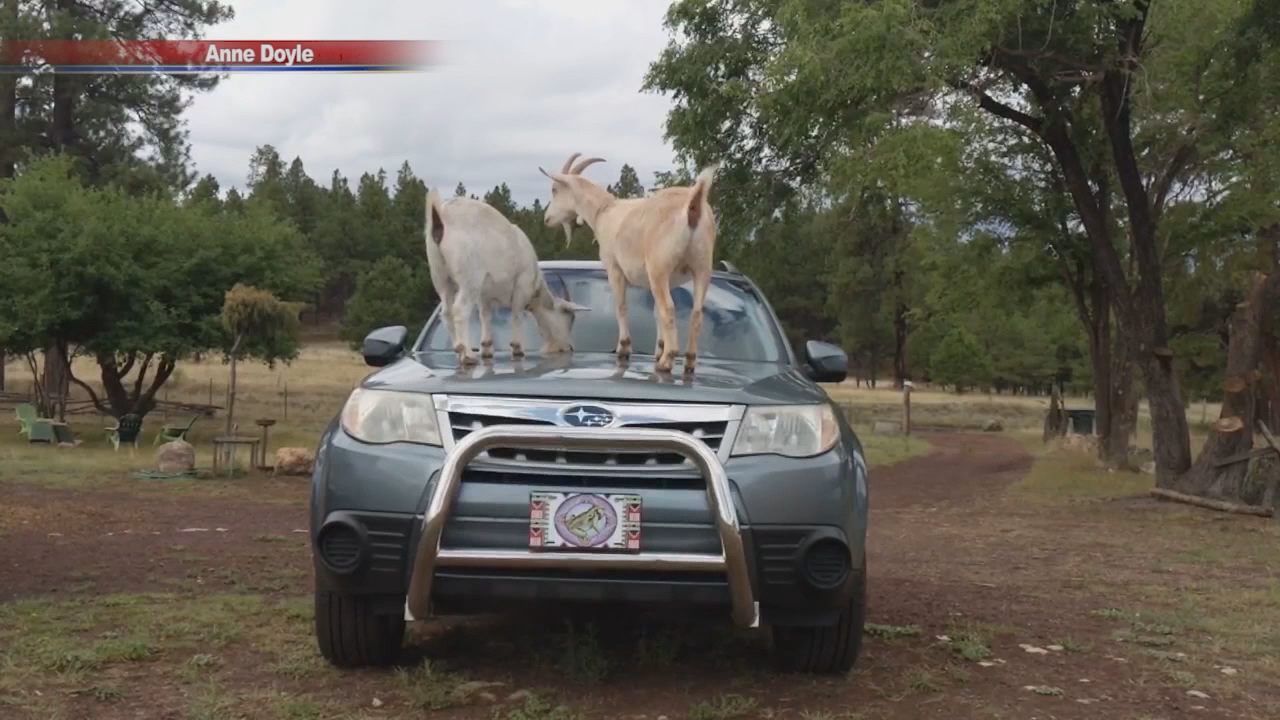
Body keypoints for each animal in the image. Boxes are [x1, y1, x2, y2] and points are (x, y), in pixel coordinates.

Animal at [427, 188, 591, 361]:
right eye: (568, 318)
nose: (568, 347)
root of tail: (441, 215)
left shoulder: (484, 294)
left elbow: (485, 315)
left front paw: (486, 348)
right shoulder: (521, 284)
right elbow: (516, 313)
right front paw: (517, 348)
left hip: (440, 274)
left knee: (446, 311)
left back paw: (458, 351)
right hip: (470, 277)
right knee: (460, 309)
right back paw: (467, 354)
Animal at [540, 153, 721, 371]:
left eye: (555, 189)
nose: (547, 219)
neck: (604, 210)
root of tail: (693, 202)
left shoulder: (614, 269)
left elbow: (621, 306)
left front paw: (624, 348)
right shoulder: (661, 281)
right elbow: (656, 313)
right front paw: (659, 348)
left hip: (659, 267)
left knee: (669, 308)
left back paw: (667, 360)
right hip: (702, 268)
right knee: (696, 313)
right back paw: (689, 360)